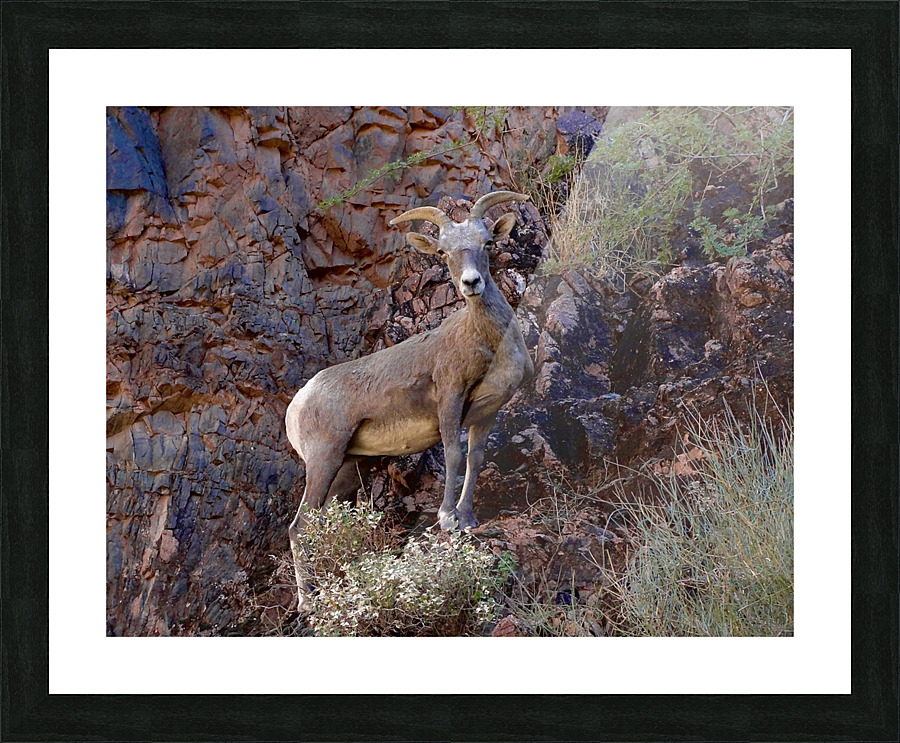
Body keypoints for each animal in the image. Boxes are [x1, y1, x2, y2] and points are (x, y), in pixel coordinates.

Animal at [285, 191, 534, 609]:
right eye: (444, 252)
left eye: (486, 243)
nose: (471, 283)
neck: (488, 342)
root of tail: (296, 405)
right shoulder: (449, 400)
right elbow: (453, 455)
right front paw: (448, 519)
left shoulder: (486, 414)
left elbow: (475, 459)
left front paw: (468, 519)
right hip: (323, 459)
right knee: (299, 526)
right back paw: (309, 600)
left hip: (348, 468)